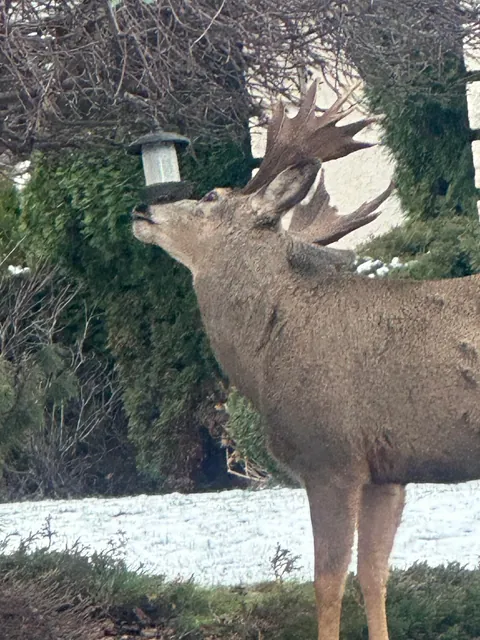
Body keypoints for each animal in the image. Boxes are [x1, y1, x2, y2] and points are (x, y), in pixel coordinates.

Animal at [132, 81, 480, 640]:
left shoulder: (330, 455)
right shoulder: (386, 471)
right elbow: (374, 576)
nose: (142, 211)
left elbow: (327, 582)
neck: (270, 348)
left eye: (210, 197)